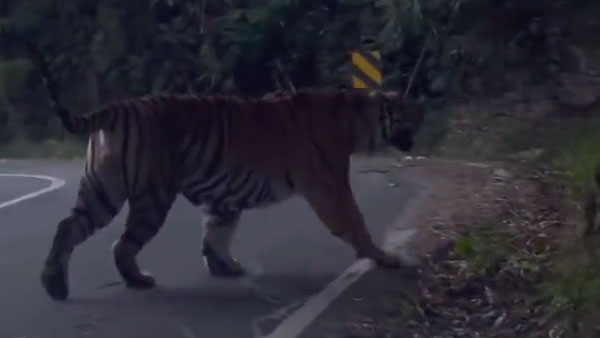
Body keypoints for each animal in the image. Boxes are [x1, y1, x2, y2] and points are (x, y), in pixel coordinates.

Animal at [25, 48, 424, 302]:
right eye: (409, 114)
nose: (419, 131)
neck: (356, 121)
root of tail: (116, 107)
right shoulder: (329, 183)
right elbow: (354, 221)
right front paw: (384, 257)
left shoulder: (224, 194)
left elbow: (218, 231)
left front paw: (225, 267)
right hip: (151, 195)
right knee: (122, 243)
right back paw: (136, 280)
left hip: (102, 188)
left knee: (69, 226)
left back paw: (53, 282)